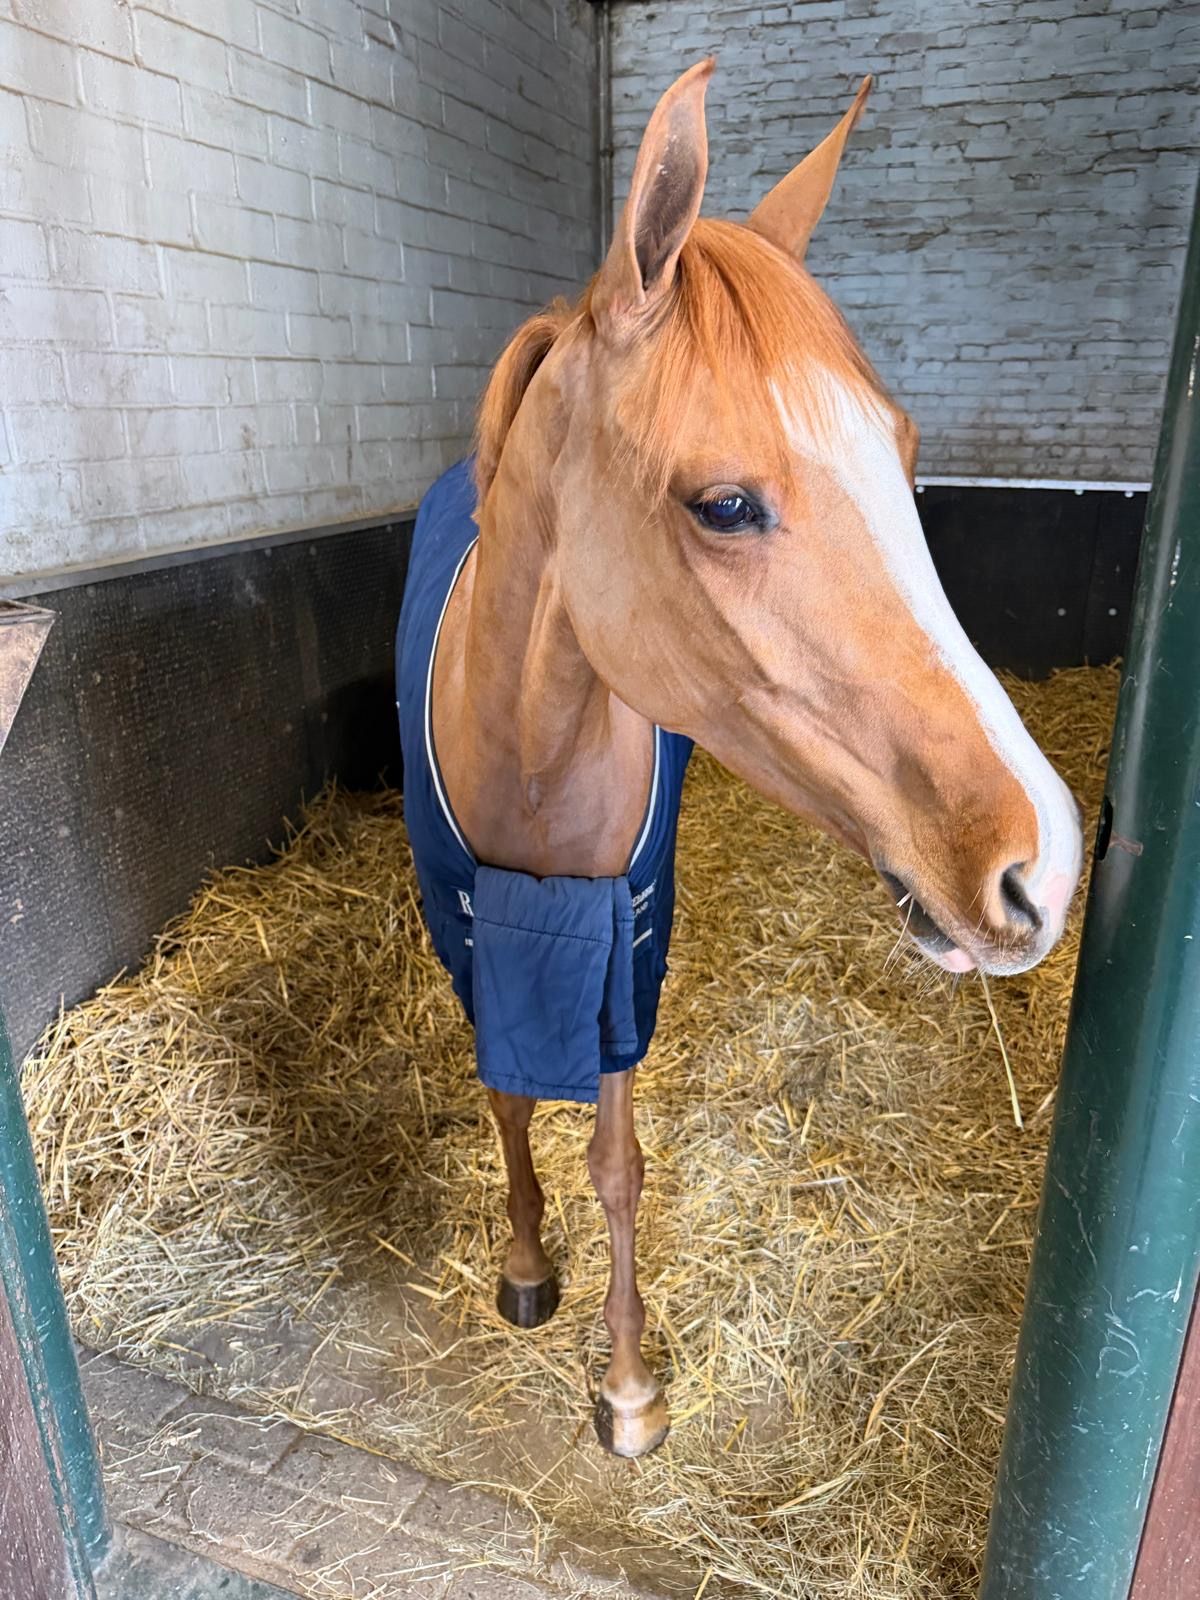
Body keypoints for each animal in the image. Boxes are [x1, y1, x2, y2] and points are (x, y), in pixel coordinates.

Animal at [395, 59, 1083, 1459]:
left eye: (906, 457)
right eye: (724, 504)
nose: (1042, 866)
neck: (529, 763)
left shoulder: (626, 949)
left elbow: (617, 1162)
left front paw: (629, 1388)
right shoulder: (472, 936)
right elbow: (506, 1101)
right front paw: (526, 1274)